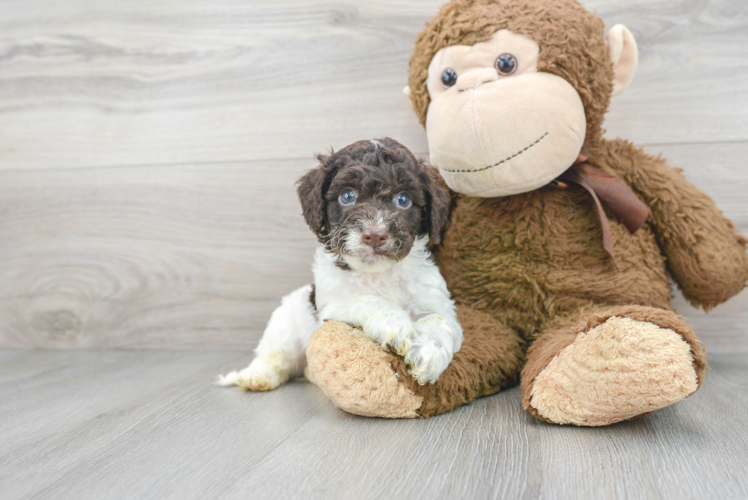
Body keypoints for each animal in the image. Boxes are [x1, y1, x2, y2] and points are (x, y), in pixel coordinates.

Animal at [218, 138, 462, 390]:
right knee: (275, 357)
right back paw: (256, 376)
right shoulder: (332, 307)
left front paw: (429, 354)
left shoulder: (440, 305)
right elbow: (366, 300)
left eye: (403, 200)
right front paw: (395, 324)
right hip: (284, 324)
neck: (379, 273)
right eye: (347, 196)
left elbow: (440, 320)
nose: (375, 235)